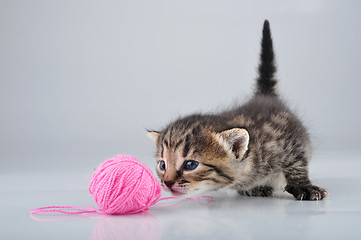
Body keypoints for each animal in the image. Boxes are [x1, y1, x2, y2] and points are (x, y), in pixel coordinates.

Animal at [148, 20, 328, 201]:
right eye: (162, 164)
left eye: (190, 164)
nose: (167, 182)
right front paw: (252, 188)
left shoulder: (292, 142)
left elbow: (297, 165)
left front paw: (304, 187)